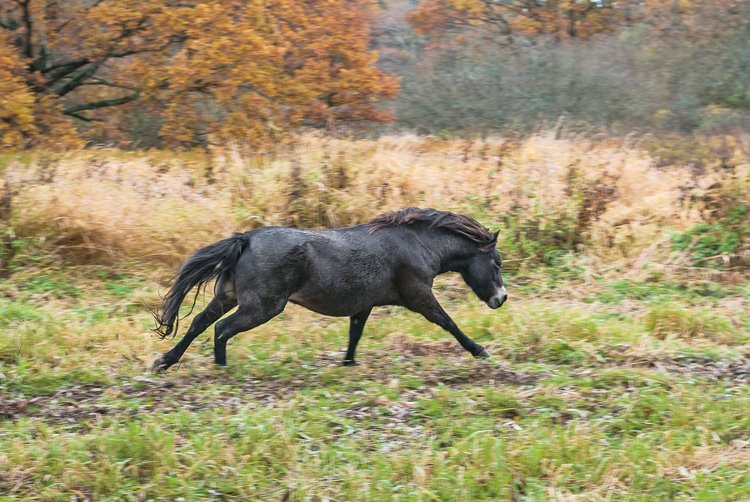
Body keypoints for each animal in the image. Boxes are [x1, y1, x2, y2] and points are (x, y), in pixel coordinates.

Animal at [150, 206, 508, 370]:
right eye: (496, 262)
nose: (501, 299)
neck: (416, 244)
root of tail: (246, 239)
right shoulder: (419, 296)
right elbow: (448, 322)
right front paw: (480, 350)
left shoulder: (365, 305)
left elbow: (355, 334)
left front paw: (347, 364)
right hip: (262, 307)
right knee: (221, 329)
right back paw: (221, 367)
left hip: (228, 297)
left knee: (200, 323)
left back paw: (165, 360)